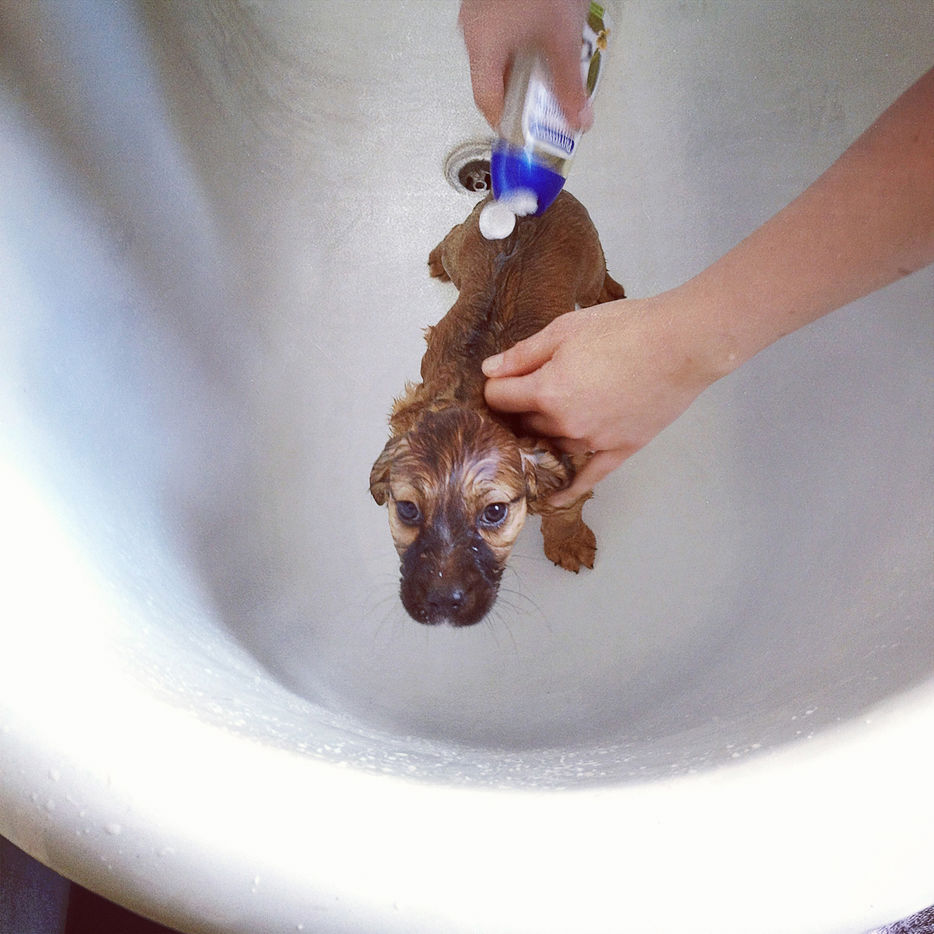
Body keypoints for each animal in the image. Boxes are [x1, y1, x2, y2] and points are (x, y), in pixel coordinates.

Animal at [369, 190, 625, 627]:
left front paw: (569, 543)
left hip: (589, 266)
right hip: (463, 250)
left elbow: (565, 509)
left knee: (597, 281)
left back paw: (611, 295)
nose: (440, 603)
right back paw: (436, 258)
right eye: (407, 510)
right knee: (453, 237)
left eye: (493, 512)